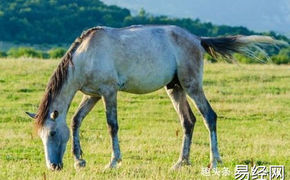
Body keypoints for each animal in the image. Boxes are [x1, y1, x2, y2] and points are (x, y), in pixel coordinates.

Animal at [26, 25, 282, 170]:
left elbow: (112, 126)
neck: (85, 56)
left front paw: (113, 162)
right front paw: (79, 161)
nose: (53, 167)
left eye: (52, 133)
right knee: (188, 121)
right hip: (175, 88)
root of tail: (197, 39)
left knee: (209, 116)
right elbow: (76, 120)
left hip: (191, 85)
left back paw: (214, 161)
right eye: (41, 136)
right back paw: (181, 162)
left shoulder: (109, 92)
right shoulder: (93, 95)